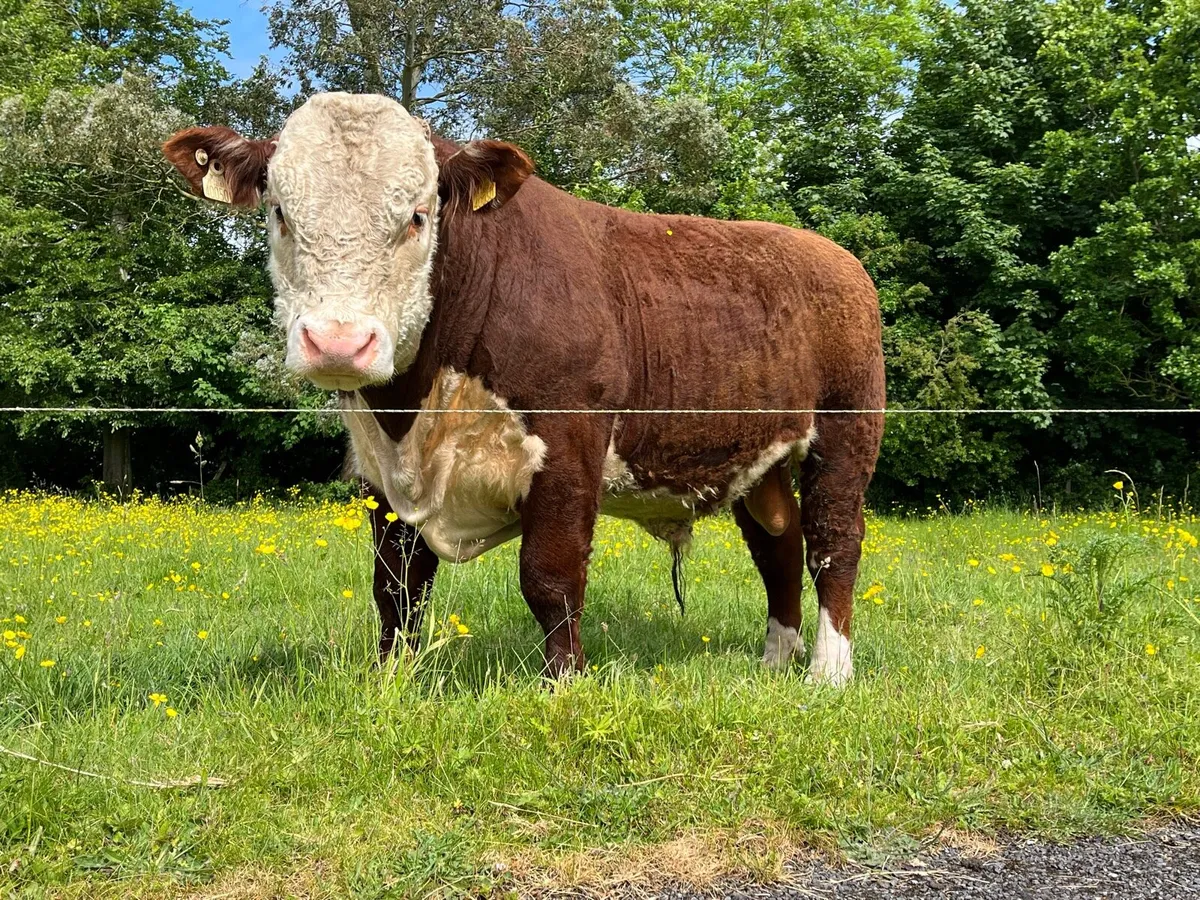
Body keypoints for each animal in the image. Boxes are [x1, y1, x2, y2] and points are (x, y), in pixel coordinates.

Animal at [163, 92, 885, 684]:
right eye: (281, 214)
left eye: (418, 216)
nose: (339, 342)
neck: (417, 409)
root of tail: (832, 254)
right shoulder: (381, 469)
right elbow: (396, 585)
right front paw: (393, 679)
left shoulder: (567, 443)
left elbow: (550, 577)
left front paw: (563, 683)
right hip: (758, 452)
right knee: (778, 544)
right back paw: (775, 659)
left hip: (847, 428)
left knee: (833, 541)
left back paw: (829, 670)